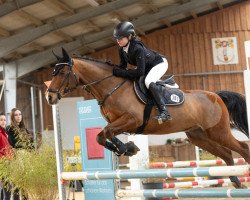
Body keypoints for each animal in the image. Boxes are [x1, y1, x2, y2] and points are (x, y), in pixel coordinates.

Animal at [46, 48, 249, 188]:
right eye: (53, 73)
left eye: (62, 73)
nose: (49, 97)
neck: (111, 87)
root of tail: (215, 95)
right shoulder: (117, 123)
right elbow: (100, 136)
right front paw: (128, 148)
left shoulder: (132, 120)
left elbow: (107, 132)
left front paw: (127, 148)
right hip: (199, 136)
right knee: (227, 154)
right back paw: (235, 180)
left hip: (217, 131)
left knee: (242, 148)